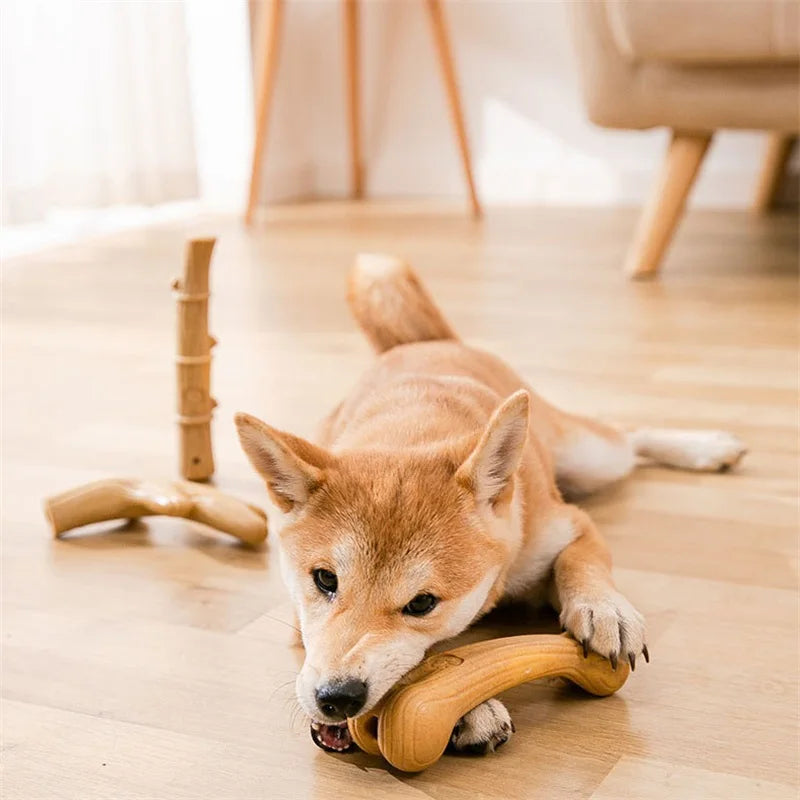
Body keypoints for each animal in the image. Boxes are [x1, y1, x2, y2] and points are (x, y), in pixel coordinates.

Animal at [234, 256, 748, 756]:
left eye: (422, 603)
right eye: (325, 580)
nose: (337, 698)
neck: (415, 427)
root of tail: (427, 342)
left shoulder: (570, 524)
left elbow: (581, 561)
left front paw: (604, 609)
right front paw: (470, 708)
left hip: (592, 459)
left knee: (629, 435)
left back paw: (707, 447)